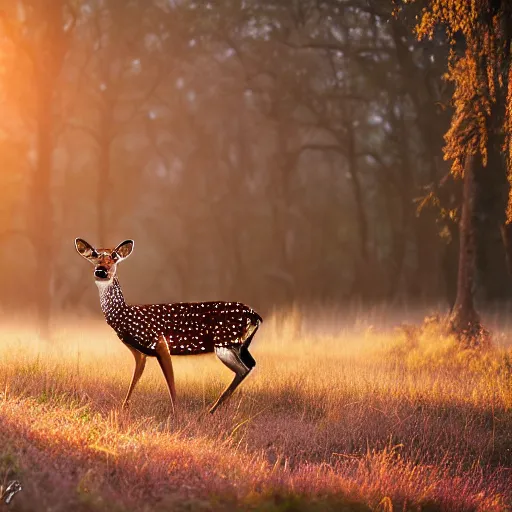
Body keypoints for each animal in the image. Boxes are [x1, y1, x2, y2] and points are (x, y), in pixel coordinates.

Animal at [74, 238, 262, 414]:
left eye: (114, 256)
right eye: (94, 255)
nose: (101, 271)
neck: (125, 317)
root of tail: (255, 316)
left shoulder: (160, 342)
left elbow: (171, 383)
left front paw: (177, 415)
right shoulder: (139, 352)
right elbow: (135, 378)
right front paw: (123, 408)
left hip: (225, 342)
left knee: (244, 368)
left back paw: (209, 411)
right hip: (233, 346)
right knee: (248, 366)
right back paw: (211, 410)